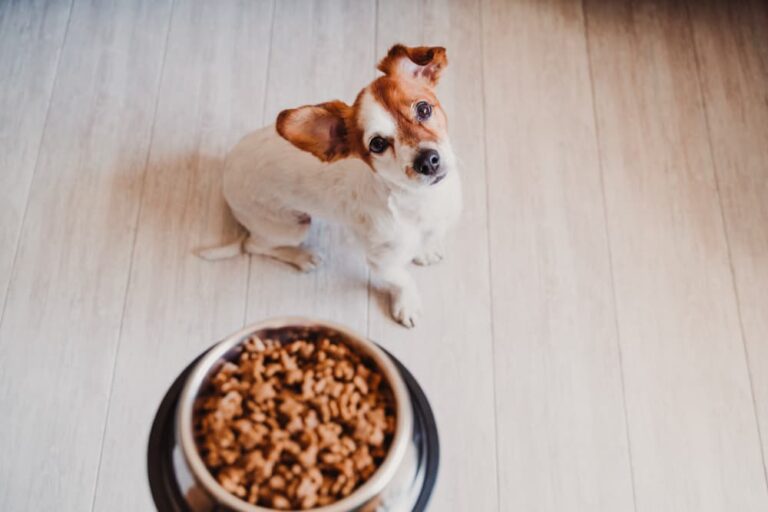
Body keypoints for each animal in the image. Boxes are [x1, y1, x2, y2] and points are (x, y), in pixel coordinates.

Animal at [200, 45, 462, 328]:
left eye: (423, 109)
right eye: (377, 144)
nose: (427, 161)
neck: (421, 201)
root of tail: (227, 168)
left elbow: (429, 238)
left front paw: (425, 250)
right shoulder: (381, 263)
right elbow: (402, 280)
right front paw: (408, 303)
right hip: (290, 227)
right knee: (254, 246)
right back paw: (302, 257)